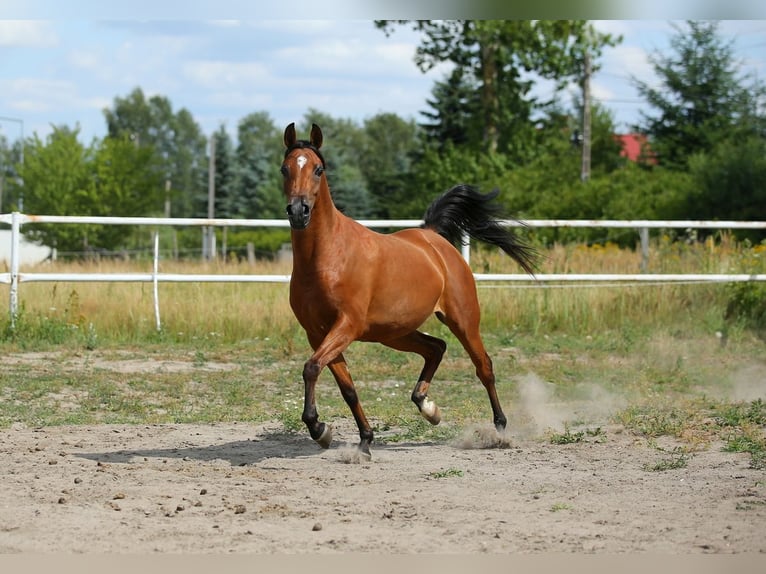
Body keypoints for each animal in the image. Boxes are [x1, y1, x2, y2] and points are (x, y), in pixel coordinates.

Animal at [282, 124, 540, 462]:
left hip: (462, 319)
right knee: (436, 348)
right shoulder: (318, 333)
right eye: (285, 168)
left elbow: (311, 368)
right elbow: (346, 388)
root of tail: (432, 237)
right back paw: (429, 408)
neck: (326, 258)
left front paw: (318, 428)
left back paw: (499, 430)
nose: (299, 212)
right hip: (393, 333)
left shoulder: (346, 326)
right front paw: (361, 440)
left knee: (484, 367)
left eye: (318, 169)